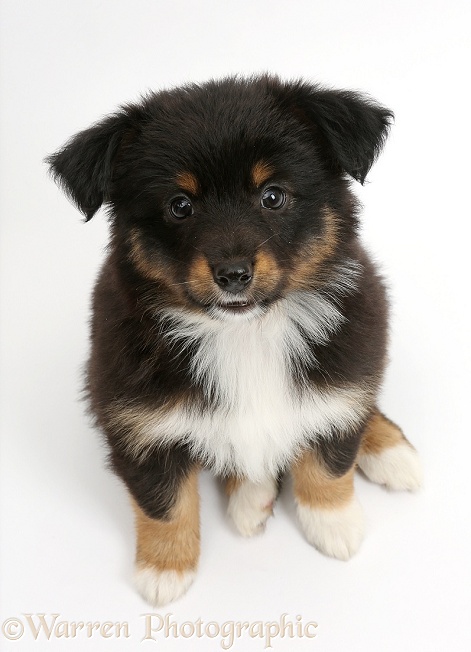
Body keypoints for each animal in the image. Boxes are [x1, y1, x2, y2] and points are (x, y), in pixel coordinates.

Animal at [48, 75, 424, 608]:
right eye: (179, 205)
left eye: (272, 196)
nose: (232, 274)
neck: (246, 333)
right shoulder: (135, 419)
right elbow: (163, 501)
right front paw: (165, 569)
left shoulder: (347, 365)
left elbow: (331, 452)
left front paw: (334, 522)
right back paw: (251, 493)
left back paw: (391, 453)